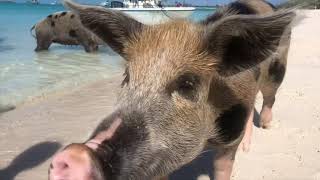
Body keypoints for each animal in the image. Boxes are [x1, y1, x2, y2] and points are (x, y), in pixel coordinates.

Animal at [48, 0, 296, 179]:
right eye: (127, 76)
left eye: (187, 84)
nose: (76, 152)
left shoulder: (229, 139)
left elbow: (223, 167)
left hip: (278, 71)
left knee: (269, 98)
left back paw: (265, 127)